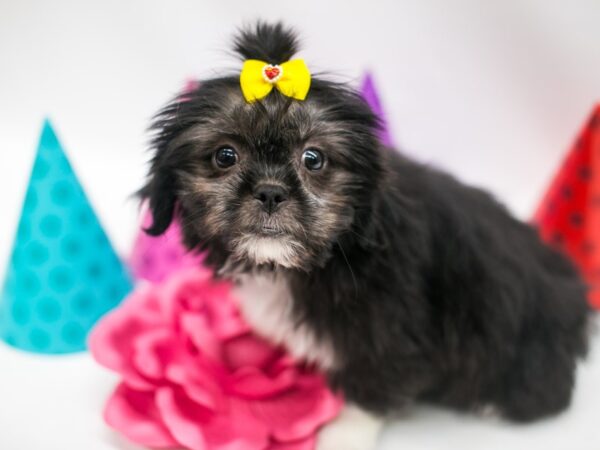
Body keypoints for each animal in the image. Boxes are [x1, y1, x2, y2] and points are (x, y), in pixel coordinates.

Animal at [141, 22, 592, 450]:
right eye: (225, 156)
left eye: (313, 159)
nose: (270, 192)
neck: (315, 262)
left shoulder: (391, 326)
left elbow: (371, 385)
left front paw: (342, 436)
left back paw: (493, 401)